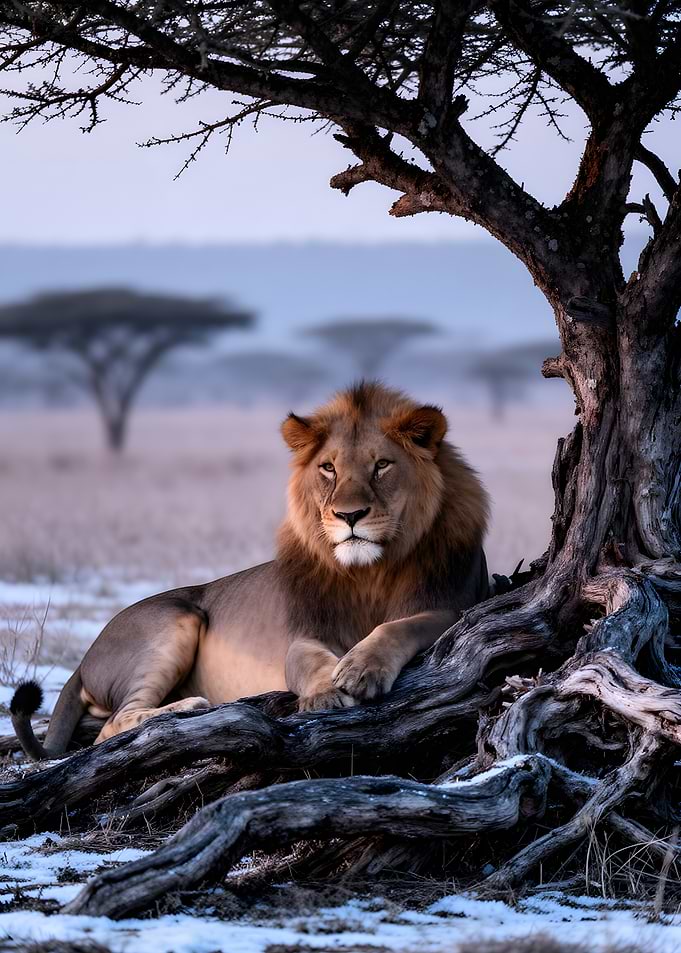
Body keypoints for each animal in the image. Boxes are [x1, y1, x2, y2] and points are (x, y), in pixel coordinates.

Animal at [11, 381, 490, 761]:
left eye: (381, 465)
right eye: (329, 468)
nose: (349, 515)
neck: (371, 570)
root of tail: (84, 658)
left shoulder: (457, 607)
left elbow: (400, 625)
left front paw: (360, 668)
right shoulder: (304, 633)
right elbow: (308, 661)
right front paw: (325, 693)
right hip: (176, 618)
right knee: (112, 725)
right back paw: (190, 708)